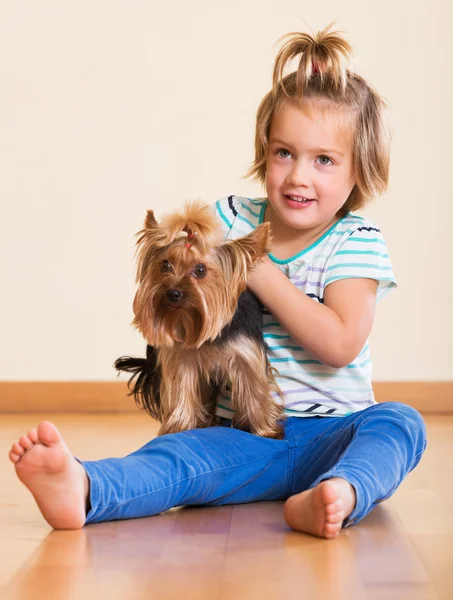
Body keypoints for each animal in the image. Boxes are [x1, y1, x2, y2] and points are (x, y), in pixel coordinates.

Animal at [114, 200, 282, 436]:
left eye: (201, 270)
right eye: (165, 265)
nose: (173, 293)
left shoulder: (246, 353)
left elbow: (254, 389)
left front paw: (266, 431)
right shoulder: (182, 358)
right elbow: (182, 391)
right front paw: (179, 427)